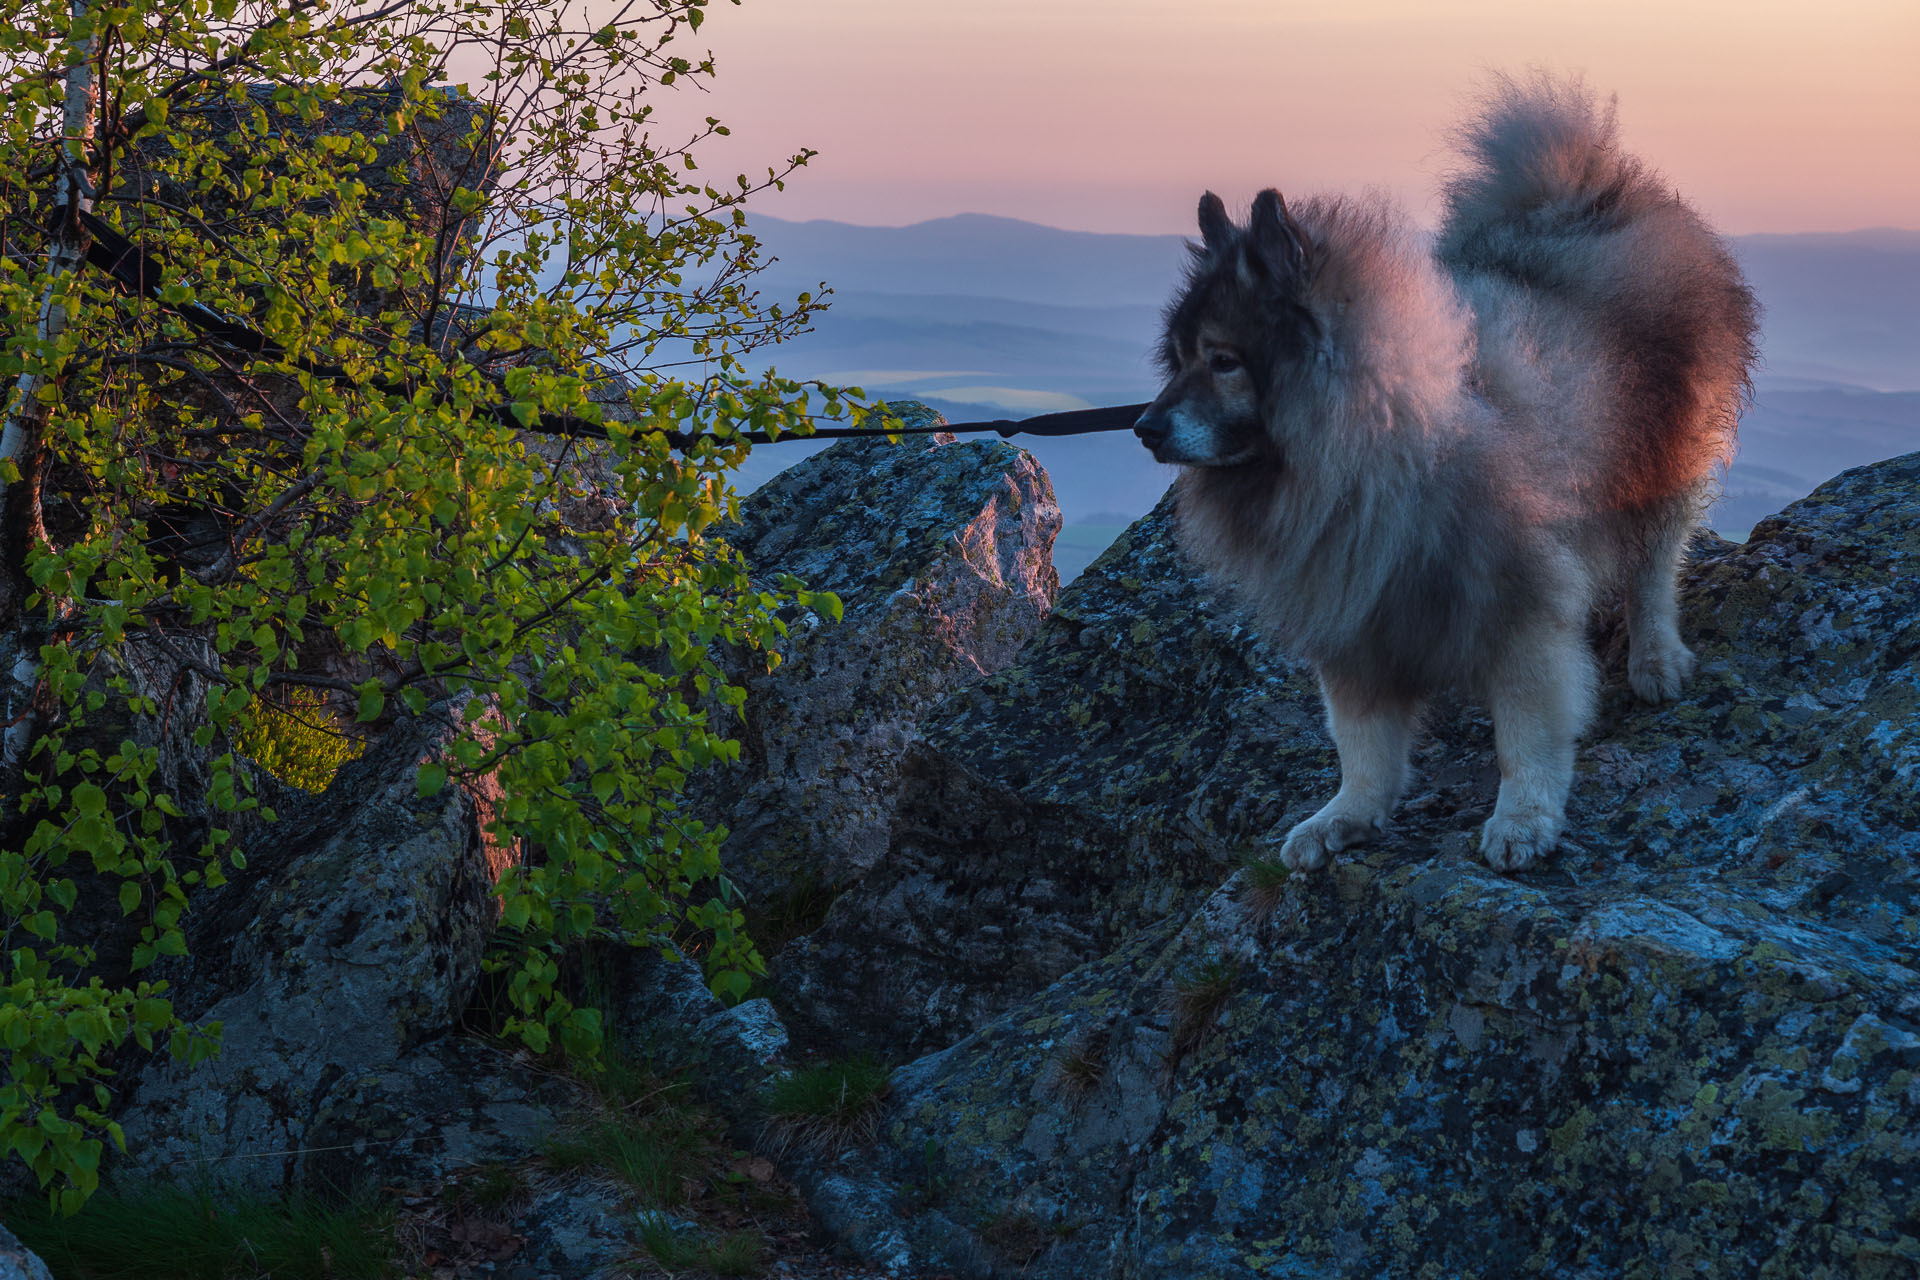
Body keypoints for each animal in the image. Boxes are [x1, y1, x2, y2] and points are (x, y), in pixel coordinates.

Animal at [1128, 72, 1758, 871]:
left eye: (1224, 360)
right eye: (1178, 359)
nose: (1144, 428)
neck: (1379, 440)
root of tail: (1591, 199)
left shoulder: (1520, 605)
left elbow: (1528, 731)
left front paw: (1522, 819)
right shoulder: (1353, 616)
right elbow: (1362, 745)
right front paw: (1346, 816)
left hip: (1659, 461)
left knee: (1654, 567)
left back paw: (1656, 659)